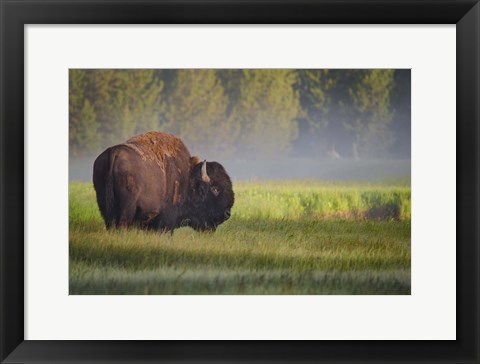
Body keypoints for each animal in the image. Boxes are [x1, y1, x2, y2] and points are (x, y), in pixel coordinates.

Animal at [92, 132, 234, 232]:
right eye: (215, 189)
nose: (227, 213)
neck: (188, 177)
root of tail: (114, 152)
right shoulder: (167, 220)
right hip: (127, 208)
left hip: (104, 205)